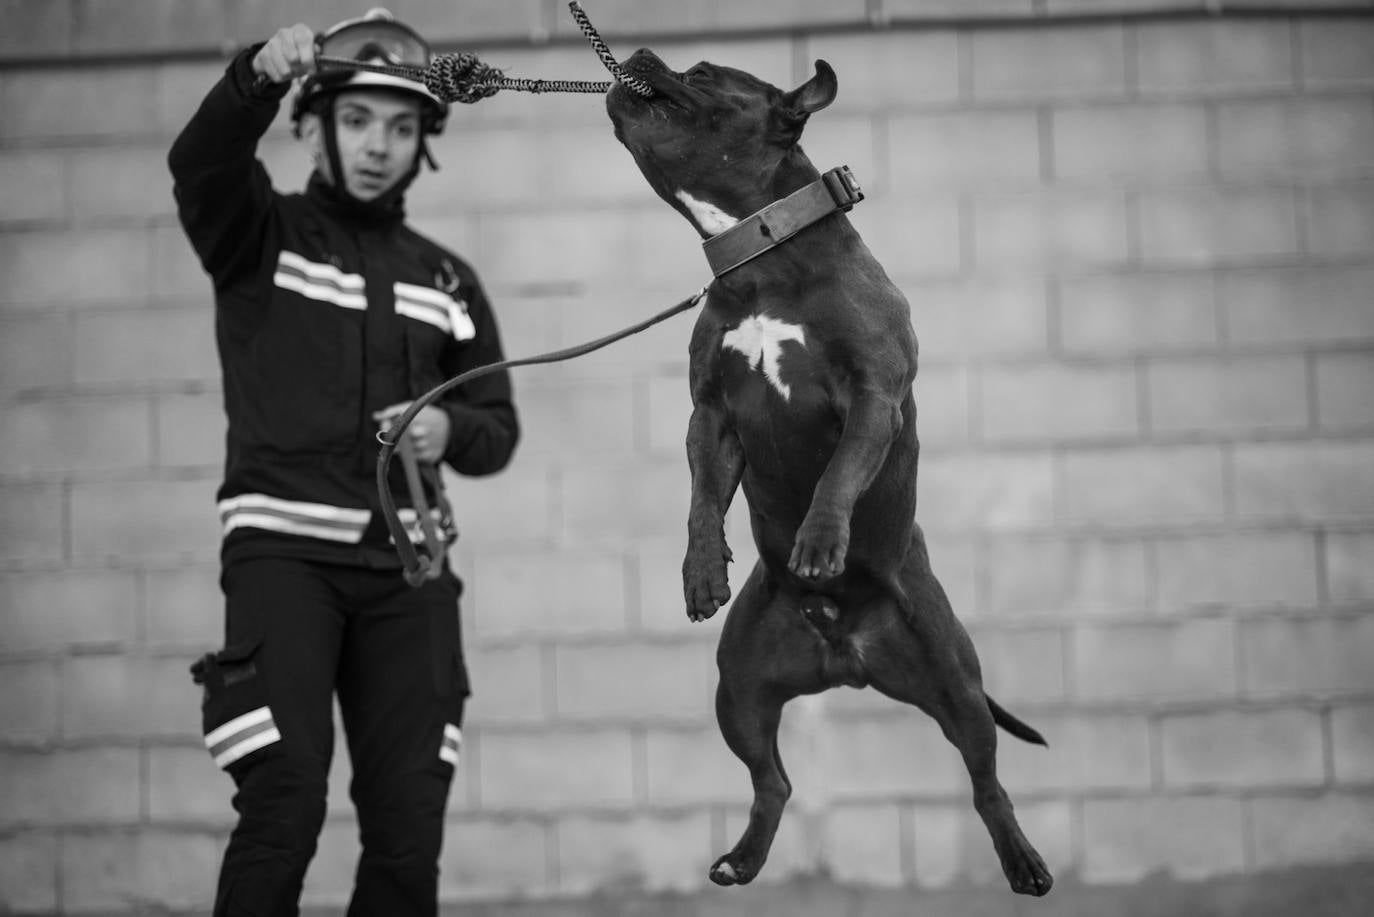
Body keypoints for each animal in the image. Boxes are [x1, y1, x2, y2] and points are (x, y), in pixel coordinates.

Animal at [604, 50, 1049, 896]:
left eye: (703, 70)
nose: (638, 57)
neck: (762, 260)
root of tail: (845, 655)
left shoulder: (874, 397)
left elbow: (839, 472)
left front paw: (818, 541)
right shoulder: (710, 414)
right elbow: (701, 496)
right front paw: (701, 570)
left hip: (957, 684)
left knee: (986, 781)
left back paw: (1023, 860)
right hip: (739, 687)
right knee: (772, 780)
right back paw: (741, 858)